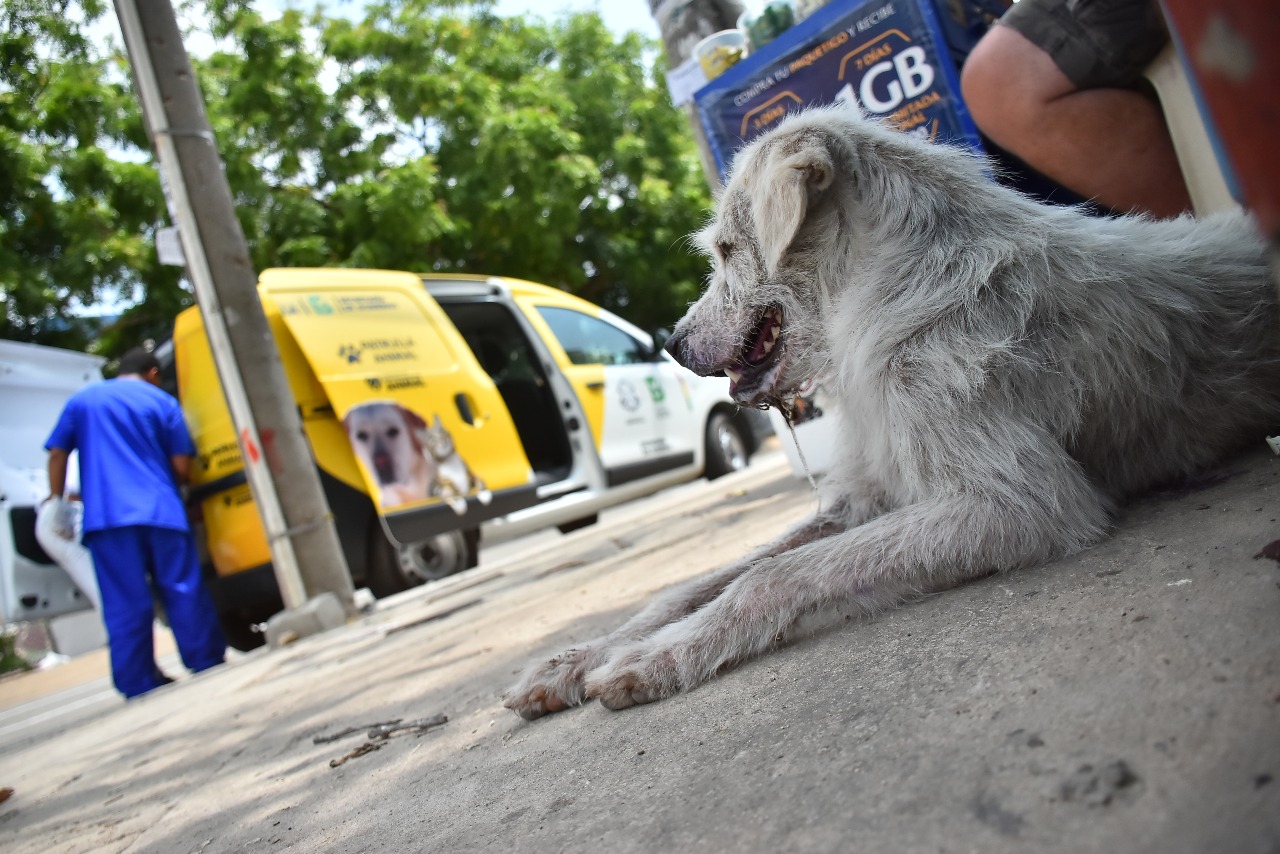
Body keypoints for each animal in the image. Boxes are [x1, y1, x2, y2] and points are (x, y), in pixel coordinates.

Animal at [504, 103, 1280, 717]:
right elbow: (695, 583)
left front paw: (660, 657)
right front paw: (578, 657)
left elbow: (771, 576)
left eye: (725, 249)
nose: (671, 343)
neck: (892, 287)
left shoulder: (1022, 503)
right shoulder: (865, 496)